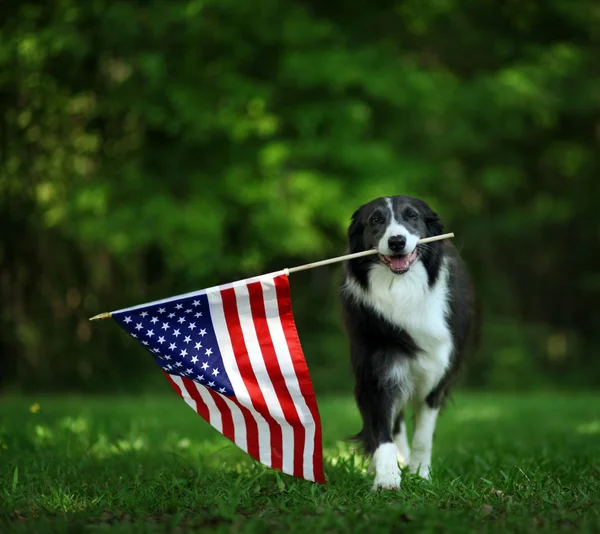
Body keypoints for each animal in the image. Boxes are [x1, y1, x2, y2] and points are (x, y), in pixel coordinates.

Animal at [340, 195, 476, 492]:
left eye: (412, 216)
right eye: (375, 220)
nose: (397, 242)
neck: (402, 289)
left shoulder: (436, 374)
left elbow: (423, 435)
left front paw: (420, 474)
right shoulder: (376, 371)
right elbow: (382, 430)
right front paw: (387, 477)